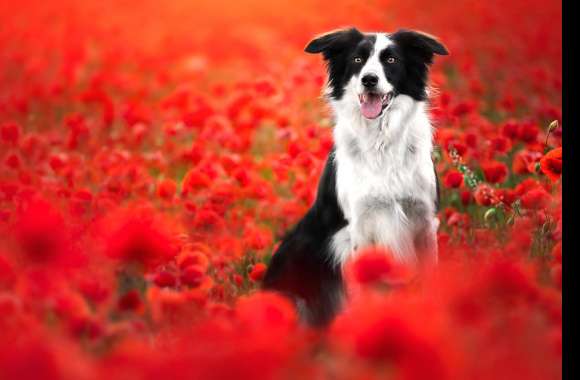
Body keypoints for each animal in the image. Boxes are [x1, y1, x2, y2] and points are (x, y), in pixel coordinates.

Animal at [262, 27, 448, 326]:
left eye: (391, 60)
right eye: (358, 60)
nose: (369, 79)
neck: (380, 142)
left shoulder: (424, 219)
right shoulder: (358, 226)